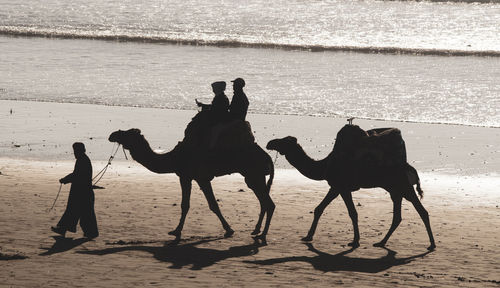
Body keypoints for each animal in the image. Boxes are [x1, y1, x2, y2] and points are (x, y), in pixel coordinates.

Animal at [108, 128, 278, 241]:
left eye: (127, 133)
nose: (112, 135)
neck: (173, 158)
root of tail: (267, 156)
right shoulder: (190, 177)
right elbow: (192, 204)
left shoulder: (196, 177)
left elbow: (205, 205)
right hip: (254, 177)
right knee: (264, 202)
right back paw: (256, 230)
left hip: (254, 175)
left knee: (269, 203)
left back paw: (262, 234)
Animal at [268, 126, 436, 250]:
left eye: (284, 141)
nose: (270, 143)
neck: (324, 165)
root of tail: (408, 166)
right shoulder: (337, 187)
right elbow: (319, 209)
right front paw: (308, 236)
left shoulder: (340, 187)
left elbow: (352, 213)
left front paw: (355, 241)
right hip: (395, 190)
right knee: (398, 216)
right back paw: (381, 242)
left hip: (404, 186)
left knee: (422, 211)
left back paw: (432, 244)